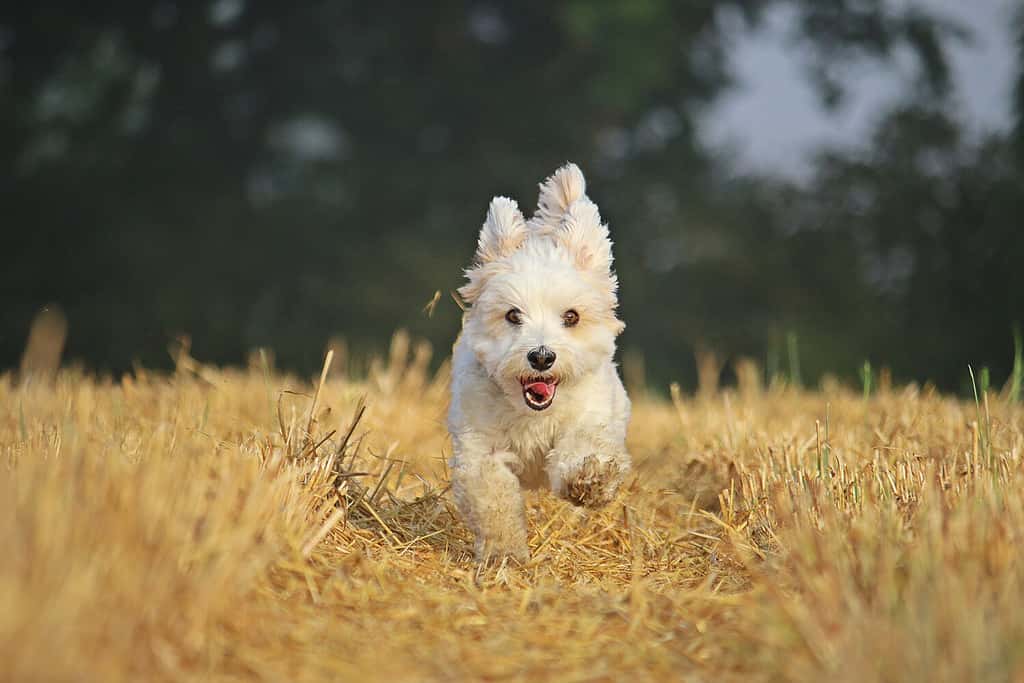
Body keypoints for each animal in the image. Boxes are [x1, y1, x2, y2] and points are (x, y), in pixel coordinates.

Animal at [450, 161, 630, 561]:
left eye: (572, 316)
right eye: (513, 315)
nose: (542, 357)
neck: (532, 413)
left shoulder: (591, 417)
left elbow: (585, 446)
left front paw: (589, 481)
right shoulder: (479, 445)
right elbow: (493, 496)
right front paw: (504, 552)